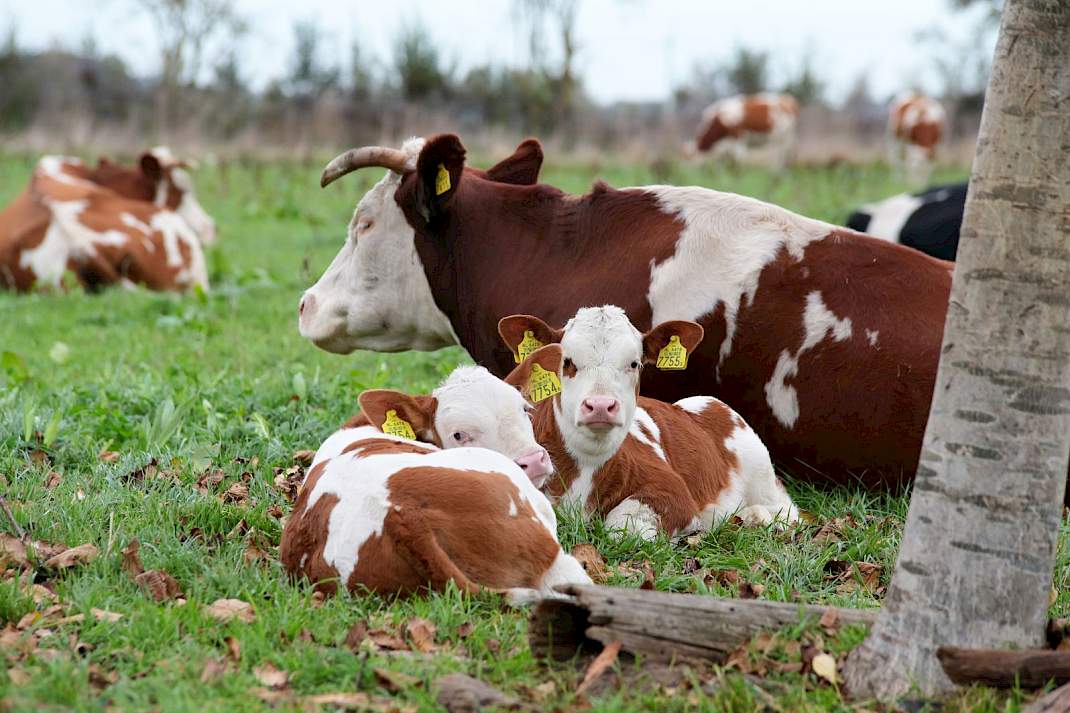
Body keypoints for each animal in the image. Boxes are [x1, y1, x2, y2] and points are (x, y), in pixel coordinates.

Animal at [499, 307, 799, 540]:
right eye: (568, 362)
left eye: (635, 363)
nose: (600, 406)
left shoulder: (674, 490)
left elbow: (623, 526)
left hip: (761, 470)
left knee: (787, 511)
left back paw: (756, 517)